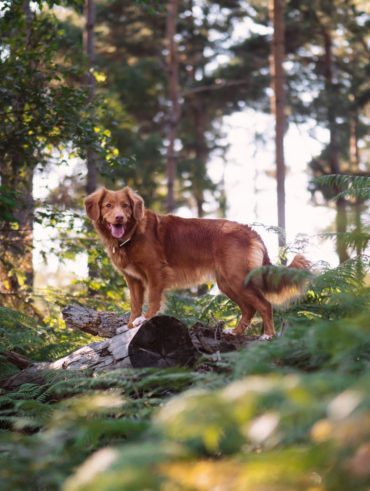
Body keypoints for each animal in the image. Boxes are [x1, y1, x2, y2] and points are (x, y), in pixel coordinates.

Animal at [84, 187, 310, 338]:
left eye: (125, 206)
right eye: (108, 206)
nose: (119, 218)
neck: (131, 235)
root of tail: (250, 231)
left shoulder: (155, 272)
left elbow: (153, 299)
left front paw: (146, 319)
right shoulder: (133, 279)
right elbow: (134, 303)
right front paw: (130, 324)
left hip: (237, 278)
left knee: (264, 304)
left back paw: (268, 335)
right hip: (227, 283)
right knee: (249, 309)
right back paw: (235, 332)